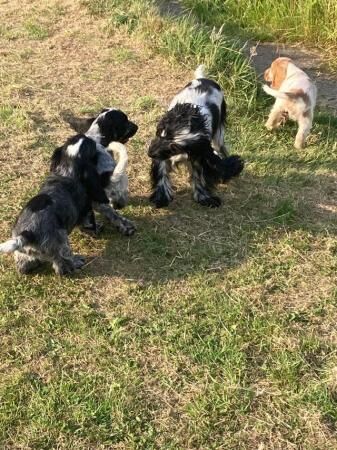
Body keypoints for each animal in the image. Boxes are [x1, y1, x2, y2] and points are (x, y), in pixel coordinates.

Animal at [0, 134, 108, 274]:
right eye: (92, 145)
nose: (88, 136)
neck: (67, 171)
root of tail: (27, 234)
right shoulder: (86, 210)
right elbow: (89, 224)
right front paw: (98, 228)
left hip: (23, 252)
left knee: (23, 265)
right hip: (61, 243)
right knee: (61, 264)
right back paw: (76, 262)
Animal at [148, 65, 243, 209]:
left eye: (175, 147)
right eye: (160, 133)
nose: (149, 153)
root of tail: (205, 79)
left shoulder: (198, 154)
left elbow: (199, 176)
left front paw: (204, 198)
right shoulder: (161, 154)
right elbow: (161, 173)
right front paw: (161, 197)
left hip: (218, 134)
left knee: (221, 147)